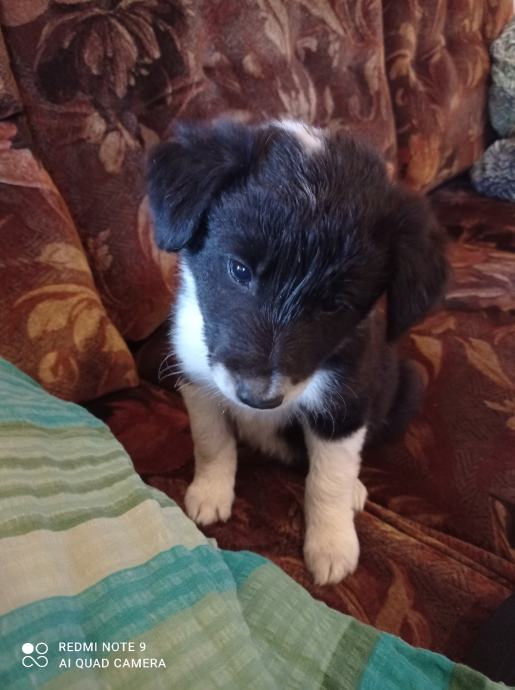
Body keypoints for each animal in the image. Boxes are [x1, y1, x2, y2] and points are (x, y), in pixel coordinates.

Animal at [146, 118, 448, 580]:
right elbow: (212, 441)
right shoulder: (197, 379)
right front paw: (210, 493)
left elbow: (329, 479)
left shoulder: (346, 401)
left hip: (405, 388)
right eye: (239, 270)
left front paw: (332, 546)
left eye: (333, 305)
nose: (258, 398)